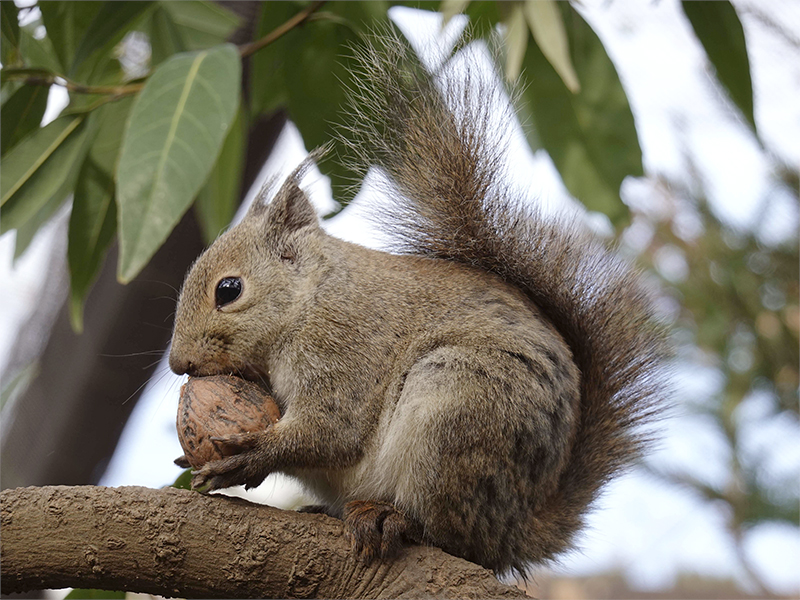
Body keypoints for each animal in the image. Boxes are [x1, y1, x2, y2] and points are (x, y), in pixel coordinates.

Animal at [168, 31, 667, 576]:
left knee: (447, 531)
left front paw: (251, 454)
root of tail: (515, 530)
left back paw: (393, 519)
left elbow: (330, 430)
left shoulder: (343, 349)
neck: (311, 299)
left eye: (228, 290)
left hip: (457, 408)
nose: (177, 363)